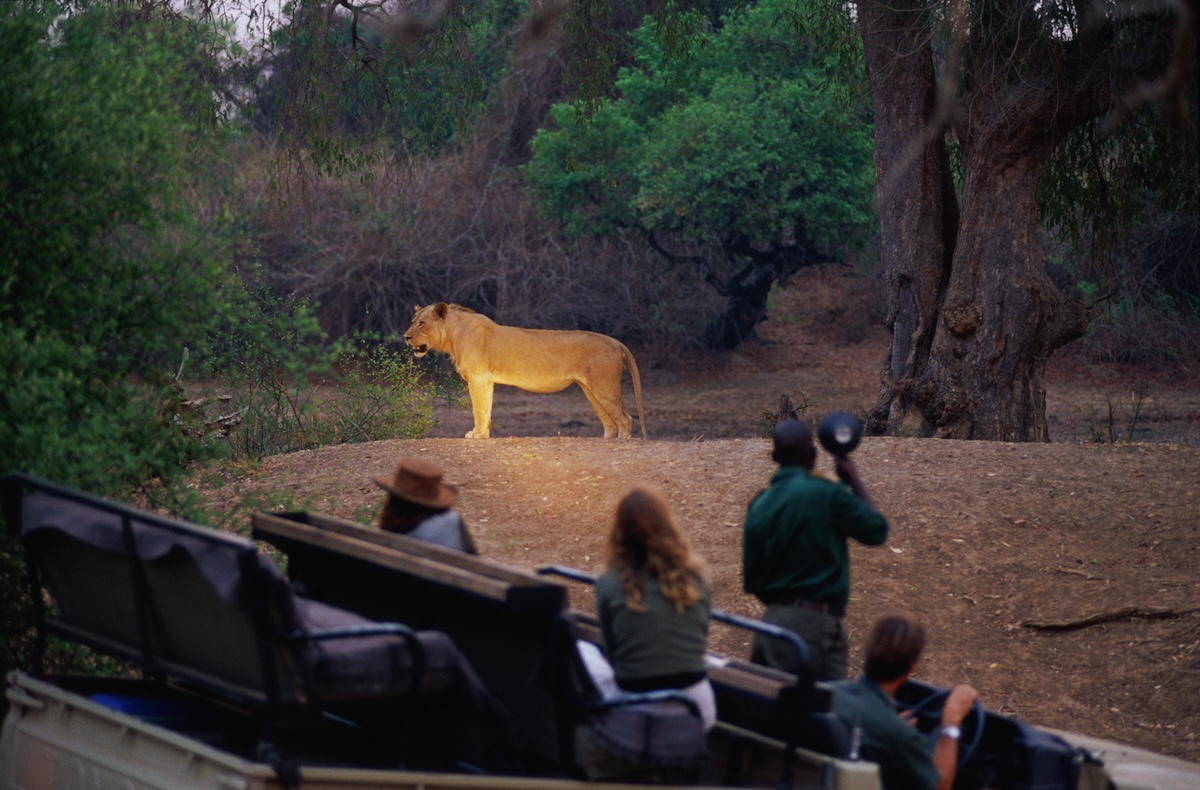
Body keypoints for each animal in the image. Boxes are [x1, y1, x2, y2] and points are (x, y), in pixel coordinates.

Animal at [404, 303, 647, 440]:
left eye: (422, 324)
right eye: (413, 321)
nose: (406, 337)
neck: (454, 335)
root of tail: (618, 343)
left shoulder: (478, 378)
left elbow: (478, 409)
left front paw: (477, 435)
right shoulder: (486, 381)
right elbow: (486, 409)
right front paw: (484, 434)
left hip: (604, 387)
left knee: (626, 419)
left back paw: (623, 440)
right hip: (591, 390)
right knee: (610, 423)